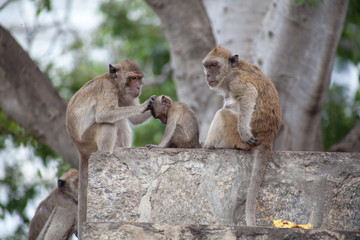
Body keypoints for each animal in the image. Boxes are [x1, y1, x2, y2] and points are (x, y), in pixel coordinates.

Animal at [65, 59, 155, 236]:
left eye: (139, 78)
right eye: (133, 78)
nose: (138, 87)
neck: (114, 82)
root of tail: (79, 150)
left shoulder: (123, 95)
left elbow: (135, 118)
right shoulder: (106, 89)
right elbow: (105, 114)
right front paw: (145, 105)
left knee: (121, 121)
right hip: (88, 140)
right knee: (108, 122)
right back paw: (106, 154)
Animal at [202, 46, 282, 226]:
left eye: (214, 65)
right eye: (207, 66)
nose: (207, 75)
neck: (232, 69)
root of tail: (268, 139)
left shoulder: (235, 80)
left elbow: (248, 95)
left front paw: (245, 131)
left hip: (235, 136)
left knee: (223, 114)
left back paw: (207, 145)